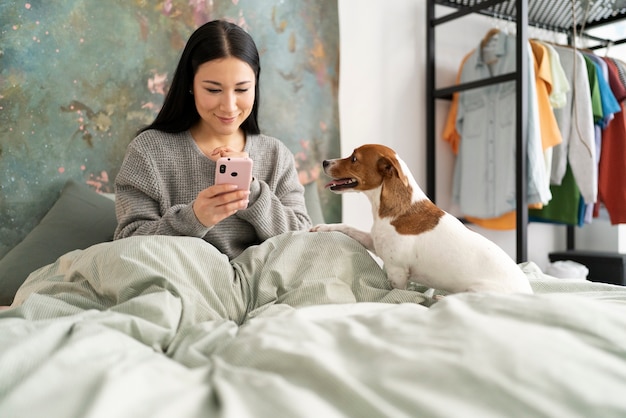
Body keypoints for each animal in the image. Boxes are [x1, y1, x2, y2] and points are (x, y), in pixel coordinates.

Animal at [310, 145, 528, 296]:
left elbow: (395, 293)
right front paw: (323, 227)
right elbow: (347, 227)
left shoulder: (397, 271)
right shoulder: (374, 242)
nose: (324, 161)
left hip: (476, 291)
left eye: (354, 158)